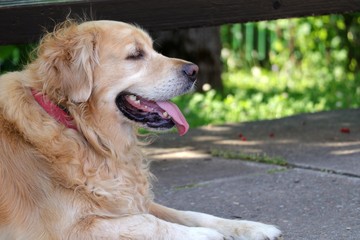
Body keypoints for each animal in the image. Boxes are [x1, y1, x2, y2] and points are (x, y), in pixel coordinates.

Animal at [0, 21, 282, 240]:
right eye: (135, 55)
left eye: (153, 48)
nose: (194, 70)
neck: (79, 128)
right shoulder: (65, 229)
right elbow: (148, 222)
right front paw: (203, 235)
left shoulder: (126, 200)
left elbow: (189, 214)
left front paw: (249, 227)